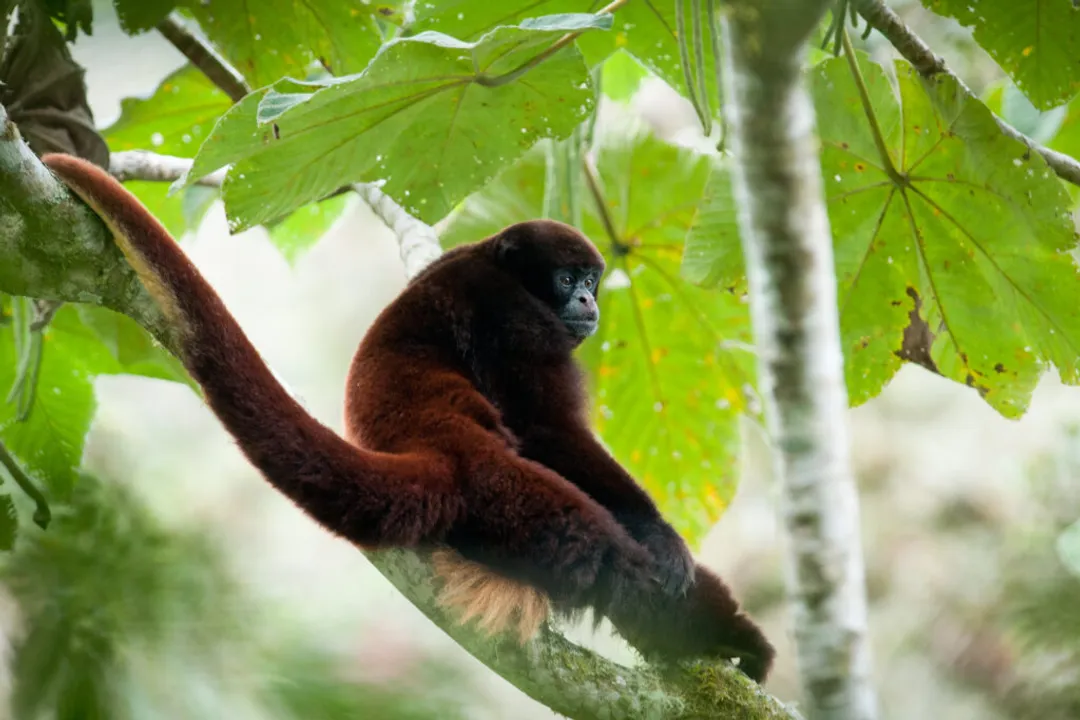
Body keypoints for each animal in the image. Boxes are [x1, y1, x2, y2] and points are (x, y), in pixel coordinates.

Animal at [41, 153, 775, 682]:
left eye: (592, 280)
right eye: (568, 280)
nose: (590, 301)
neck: (493, 260)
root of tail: (435, 456)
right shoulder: (512, 315)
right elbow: (551, 428)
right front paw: (662, 534)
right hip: (499, 489)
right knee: (601, 553)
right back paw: (694, 618)